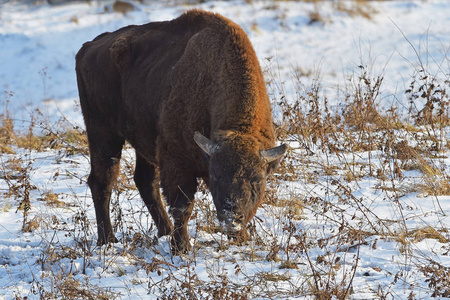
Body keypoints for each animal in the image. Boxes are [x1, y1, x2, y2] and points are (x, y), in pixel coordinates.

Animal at [74, 9, 284, 253]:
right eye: (217, 175)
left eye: (257, 179)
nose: (231, 217)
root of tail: (88, 47)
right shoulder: (177, 160)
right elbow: (183, 206)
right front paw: (181, 247)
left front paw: (241, 239)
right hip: (103, 133)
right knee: (102, 181)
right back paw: (108, 240)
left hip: (142, 141)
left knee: (145, 182)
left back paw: (162, 231)